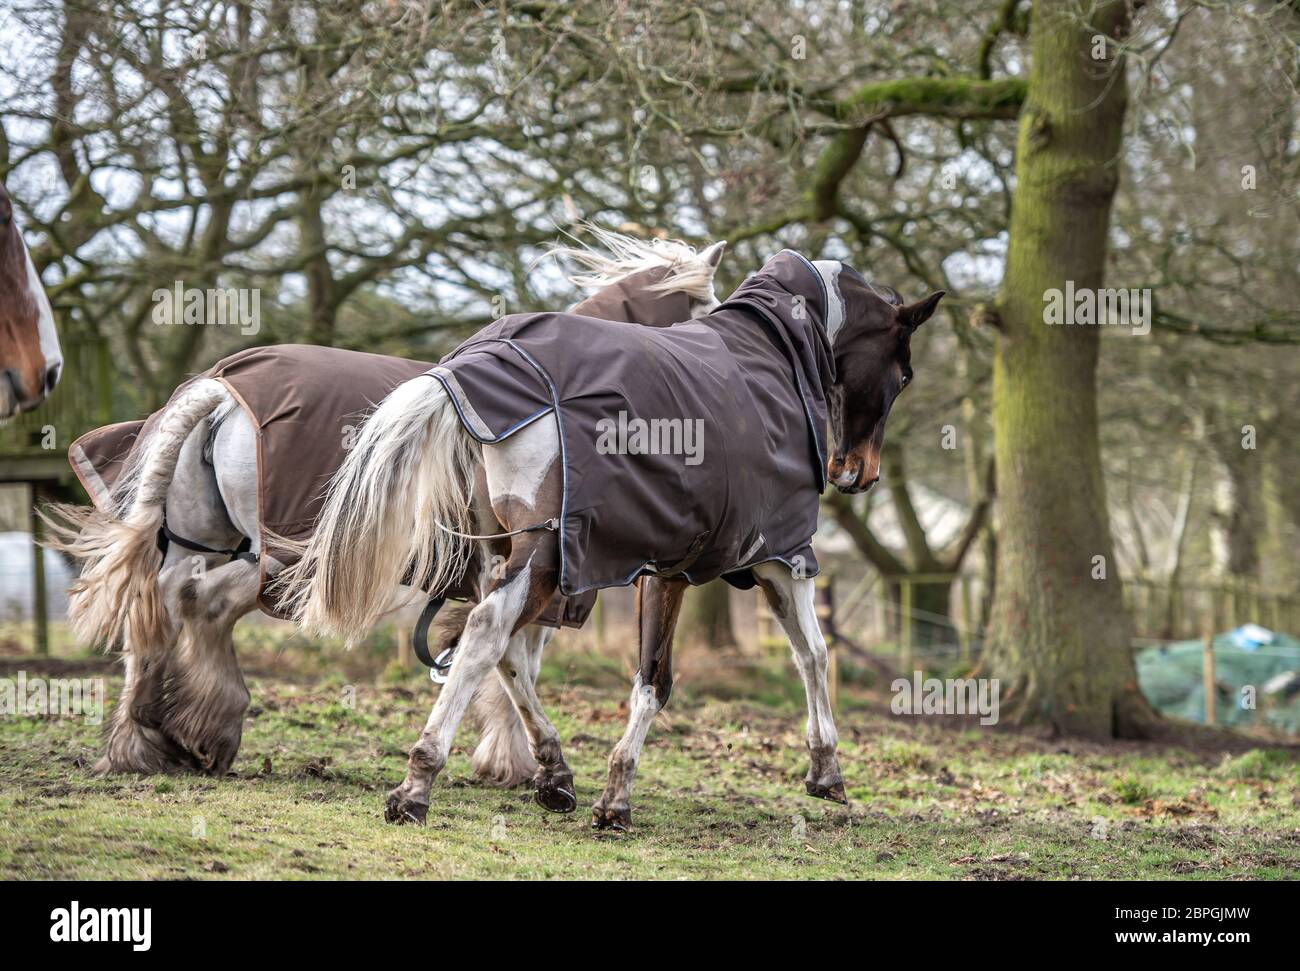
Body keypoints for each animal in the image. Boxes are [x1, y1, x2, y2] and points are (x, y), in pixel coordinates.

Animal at [40, 231, 728, 785]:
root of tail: (221, 391)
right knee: (198, 606)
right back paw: (209, 728)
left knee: (158, 608)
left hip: (202, 541)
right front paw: (518, 762)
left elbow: (502, 666)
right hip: (281, 559)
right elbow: (514, 667)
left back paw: (143, 742)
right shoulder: (540, 577)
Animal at [279, 250, 941, 826]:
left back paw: (552, 774)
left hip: (506, 553)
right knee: (486, 636)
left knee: (500, 650)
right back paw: (418, 785)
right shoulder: (777, 557)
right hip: (544, 558)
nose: (858, 473)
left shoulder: (663, 567)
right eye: (904, 372)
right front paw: (824, 770)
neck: (776, 355)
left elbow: (656, 675)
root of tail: (470, 365)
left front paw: (609, 793)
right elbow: (804, 654)